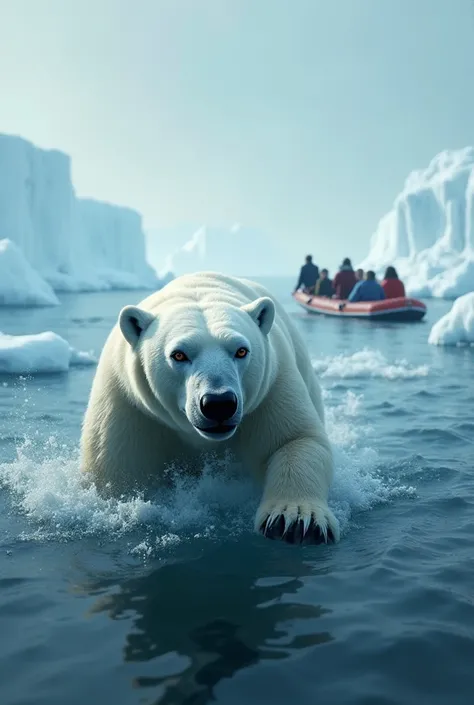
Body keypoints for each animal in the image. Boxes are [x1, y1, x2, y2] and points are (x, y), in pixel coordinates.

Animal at [81, 270, 340, 544]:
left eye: (241, 350)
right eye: (178, 354)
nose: (219, 404)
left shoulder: (271, 386)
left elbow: (295, 440)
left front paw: (295, 521)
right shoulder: (130, 402)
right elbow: (117, 468)